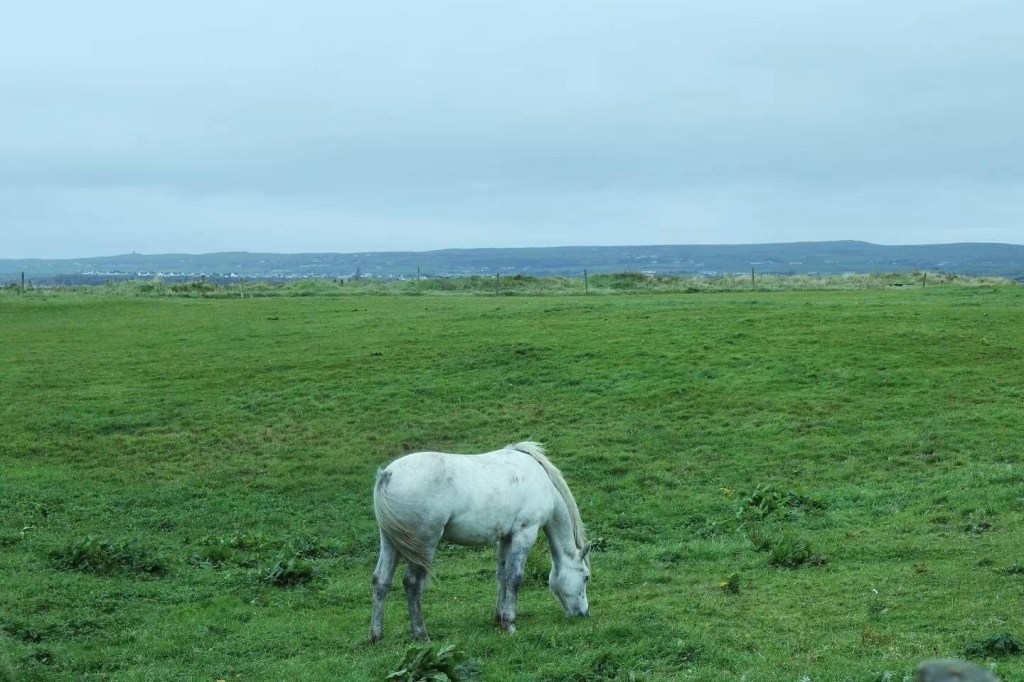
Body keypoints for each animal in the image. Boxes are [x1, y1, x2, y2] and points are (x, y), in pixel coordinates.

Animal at [369, 441, 592, 642]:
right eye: (586, 577)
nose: (584, 613)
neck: (540, 480)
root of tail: (388, 474)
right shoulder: (524, 533)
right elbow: (515, 578)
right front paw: (510, 624)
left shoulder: (506, 537)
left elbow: (502, 576)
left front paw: (500, 619)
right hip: (424, 546)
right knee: (412, 583)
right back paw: (421, 634)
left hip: (389, 542)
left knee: (381, 580)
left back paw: (376, 635)